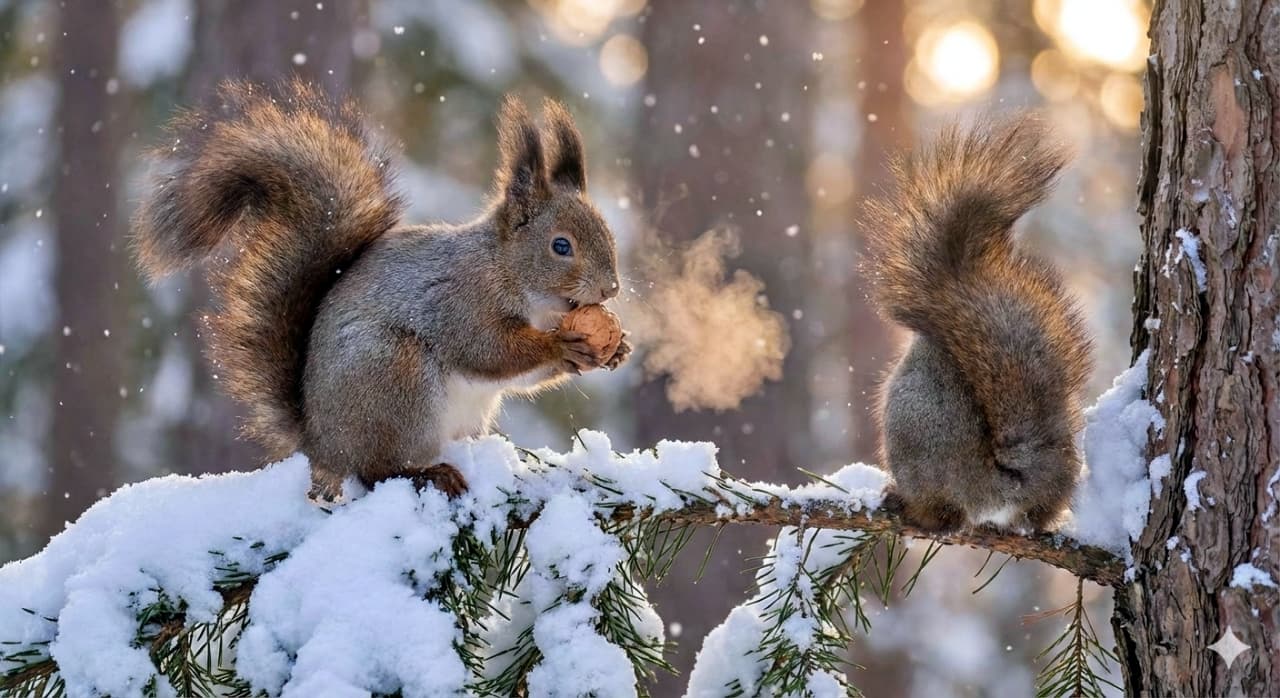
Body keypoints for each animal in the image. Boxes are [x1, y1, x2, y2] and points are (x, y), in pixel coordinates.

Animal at [133, 81, 630, 500]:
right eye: (561, 246)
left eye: (608, 232)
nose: (611, 288)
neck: (505, 270)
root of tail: (321, 446)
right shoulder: (461, 301)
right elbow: (489, 351)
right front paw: (560, 344)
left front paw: (615, 349)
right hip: (395, 376)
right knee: (376, 472)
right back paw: (430, 474)